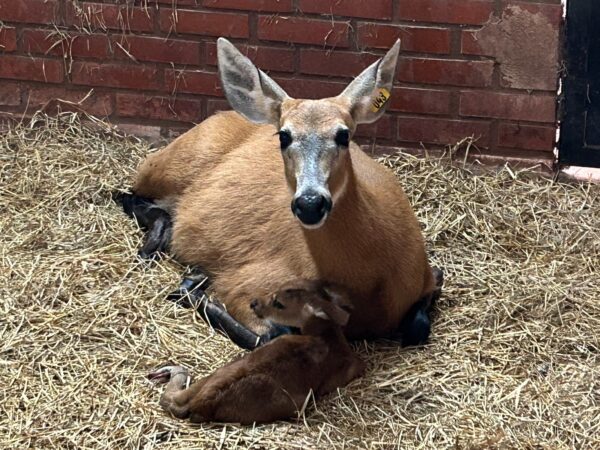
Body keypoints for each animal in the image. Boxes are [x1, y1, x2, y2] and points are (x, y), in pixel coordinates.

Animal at [120, 37, 440, 350]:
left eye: (343, 134)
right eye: (284, 136)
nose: (310, 203)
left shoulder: (428, 276)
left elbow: (418, 325)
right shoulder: (246, 283)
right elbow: (272, 334)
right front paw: (193, 288)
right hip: (169, 166)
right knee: (127, 193)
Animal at [148, 280, 368, 424]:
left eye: (279, 303)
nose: (254, 303)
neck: (327, 336)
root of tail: (204, 401)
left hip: (223, 369)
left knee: (174, 397)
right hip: (294, 404)